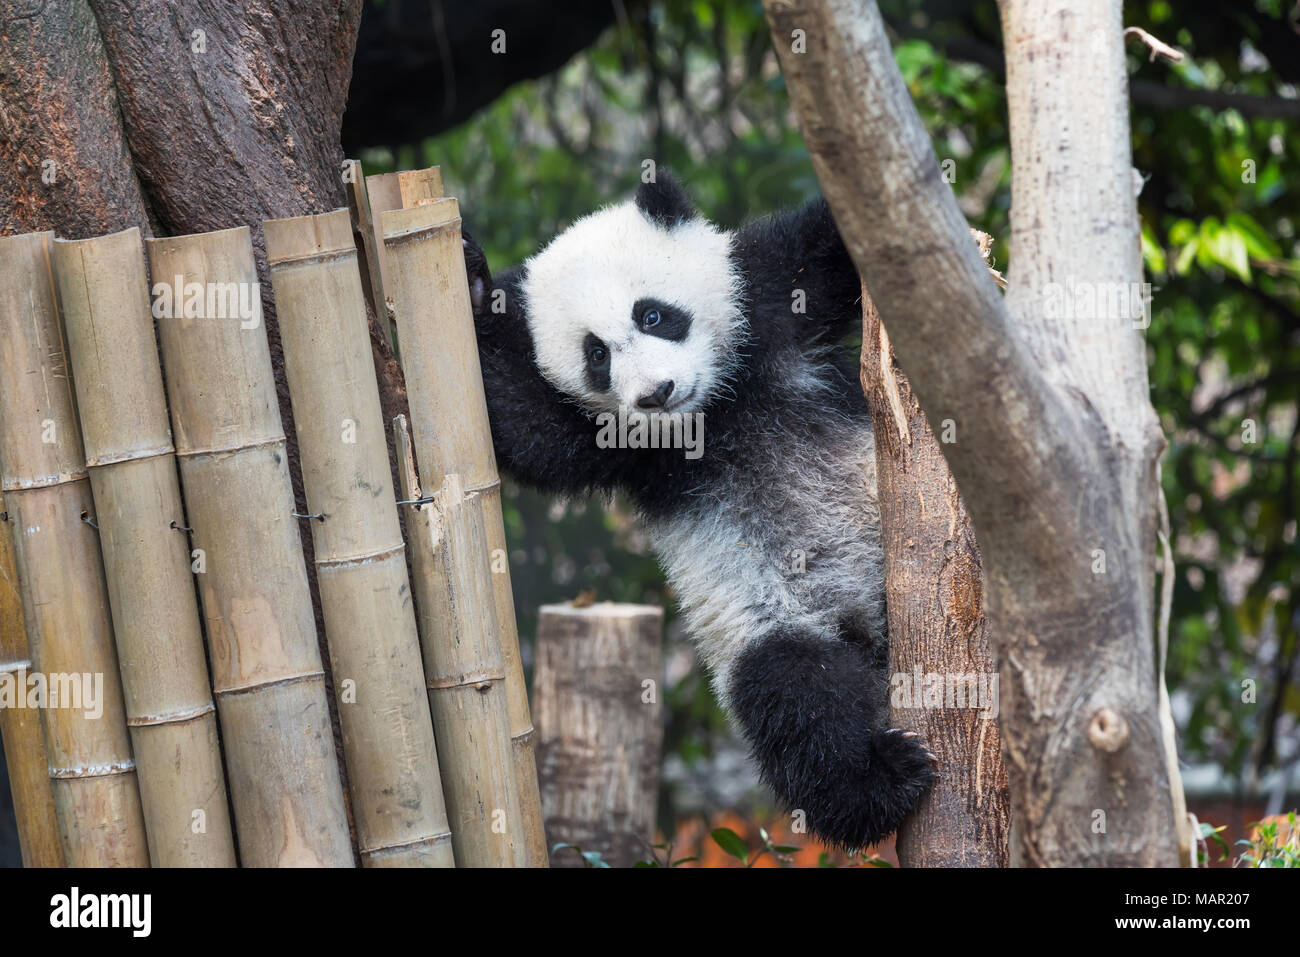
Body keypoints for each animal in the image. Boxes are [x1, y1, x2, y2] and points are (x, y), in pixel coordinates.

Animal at [463, 171, 935, 849]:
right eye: (596, 355)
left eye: (654, 315)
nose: (656, 393)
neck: (712, 414)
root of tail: (876, 640)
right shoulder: (618, 448)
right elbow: (521, 423)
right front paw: (474, 288)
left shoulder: (772, 300)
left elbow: (829, 250)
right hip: (774, 618)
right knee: (794, 692)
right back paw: (880, 782)